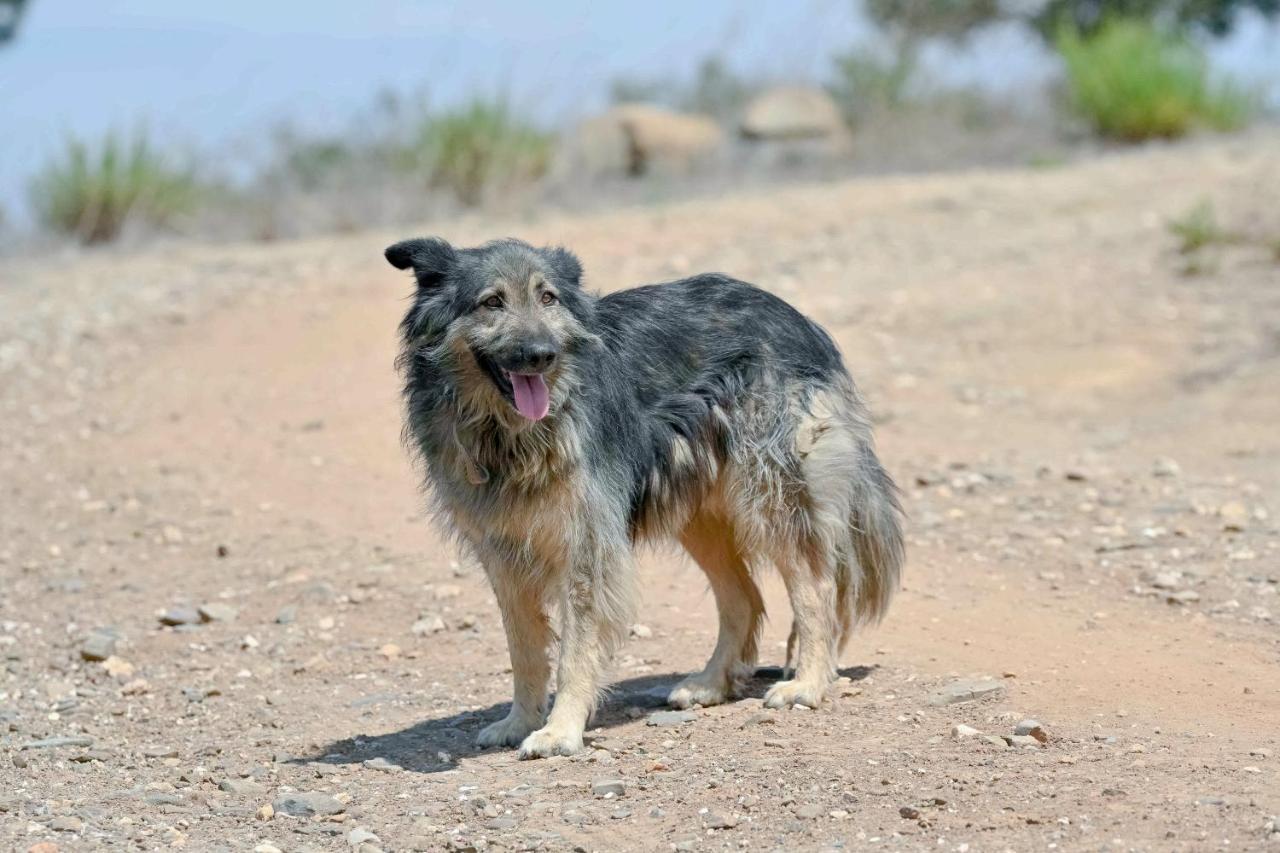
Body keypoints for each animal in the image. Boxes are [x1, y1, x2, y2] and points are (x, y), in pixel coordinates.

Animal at [384, 234, 906, 758]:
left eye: (547, 297)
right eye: (492, 302)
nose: (541, 354)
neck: (508, 433)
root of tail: (798, 318)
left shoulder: (587, 546)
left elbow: (575, 650)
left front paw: (559, 730)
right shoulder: (502, 552)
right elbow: (525, 649)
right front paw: (519, 721)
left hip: (770, 492)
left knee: (816, 586)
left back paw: (808, 684)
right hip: (699, 512)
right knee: (744, 597)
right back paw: (711, 684)